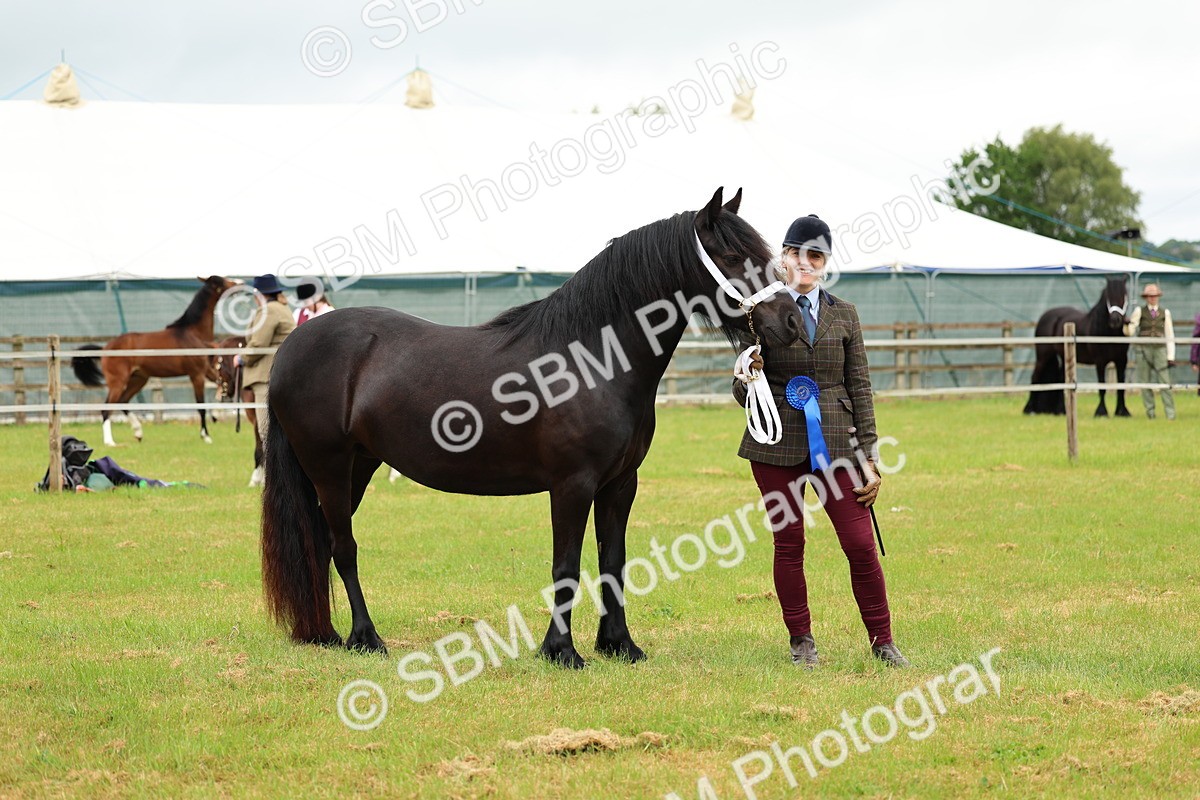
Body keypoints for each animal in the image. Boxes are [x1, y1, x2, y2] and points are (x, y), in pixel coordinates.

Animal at [72, 276, 240, 446]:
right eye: (222, 281)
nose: (239, 283)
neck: (194, 333)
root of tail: (105, 348)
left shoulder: (207, 370)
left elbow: (224, 385)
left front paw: (215, 415)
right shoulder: (196, 374)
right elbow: (201, 405)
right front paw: (206, 436)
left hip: (138, 379)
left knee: (123, 401)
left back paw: (138, 432)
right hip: (118, 382)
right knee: (107, 408)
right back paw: (110, 442)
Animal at [260, 187, 802, 667]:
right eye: (731, 255)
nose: (793, 321)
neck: (592, 360)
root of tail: (293, 347)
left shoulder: (620, 484)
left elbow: (613, 562)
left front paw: (619, 646)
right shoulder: (572, 485)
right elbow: (566, 566)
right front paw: (562, 652)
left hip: (360, 466)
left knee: (321, 542)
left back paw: (325, 634)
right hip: (328, 467)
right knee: (343, 547)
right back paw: (366, 638)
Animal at [1024, 275, 1130, 417]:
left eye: (1124, 296)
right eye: (1108, 297)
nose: (1115, 320)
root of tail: (1045, 316)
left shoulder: (1122, 360)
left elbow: (1121, 386)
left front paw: (1122, 412)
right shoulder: (1100, 361)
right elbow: (1102, 386)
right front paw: (1101, 412)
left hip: (1064, 357)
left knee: (1061, 380)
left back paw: (1061, 411)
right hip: (1043, 357)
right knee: (1035, 378)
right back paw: (1030, 409)